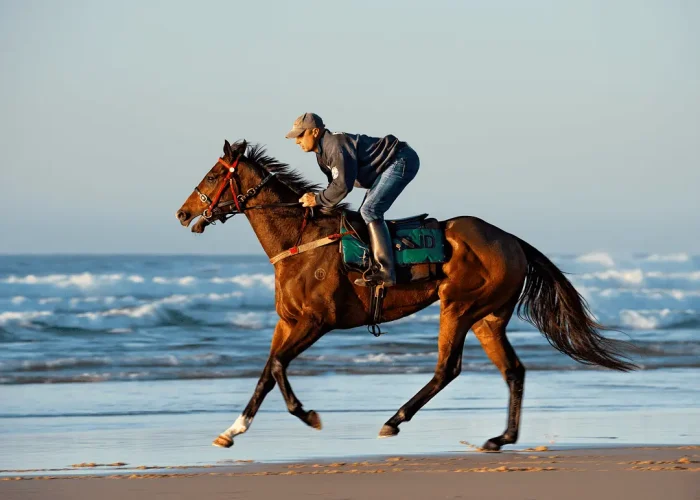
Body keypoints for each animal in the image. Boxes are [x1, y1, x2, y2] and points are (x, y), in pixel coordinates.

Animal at [176, 139, 635, 451]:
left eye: (214, 175)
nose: (182, 213)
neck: (300, 241)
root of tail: (512, 241)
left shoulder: (316, 322)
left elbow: (278, 367)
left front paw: (309, 416)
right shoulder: (287, 322)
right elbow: (267, 371)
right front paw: (231, 431)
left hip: (458, 307)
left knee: (447, 369)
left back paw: (395, 420)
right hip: (488, 317)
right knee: (513, 371)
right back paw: (501, 437)